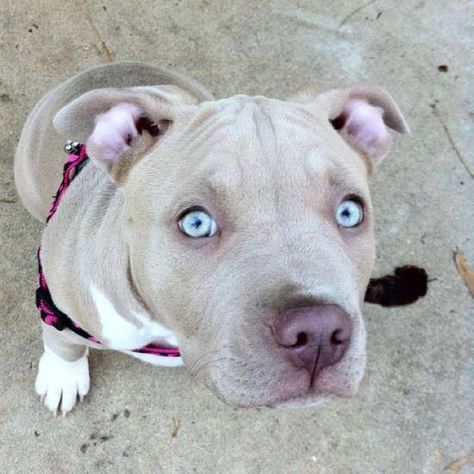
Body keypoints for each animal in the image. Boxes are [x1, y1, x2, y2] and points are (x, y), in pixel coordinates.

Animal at [13, 61, 408, 412]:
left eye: (349, 212)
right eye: (197, 223)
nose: (319, 334)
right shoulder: (58, 306)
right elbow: (63, 341)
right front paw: (62, 377)